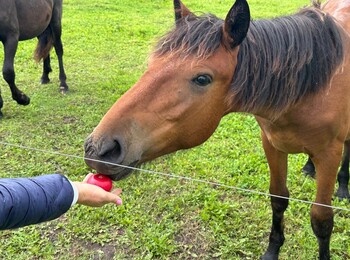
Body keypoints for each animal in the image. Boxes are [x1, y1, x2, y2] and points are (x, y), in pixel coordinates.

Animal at [85, 0, 350, 258]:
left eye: (202, 79)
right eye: (151, 64)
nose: (99, 148)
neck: (312, 86)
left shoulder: (329, 155)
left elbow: (321, 220)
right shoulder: (272, 145)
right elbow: (278, 198)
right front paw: (272, 250)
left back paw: (343, 187)